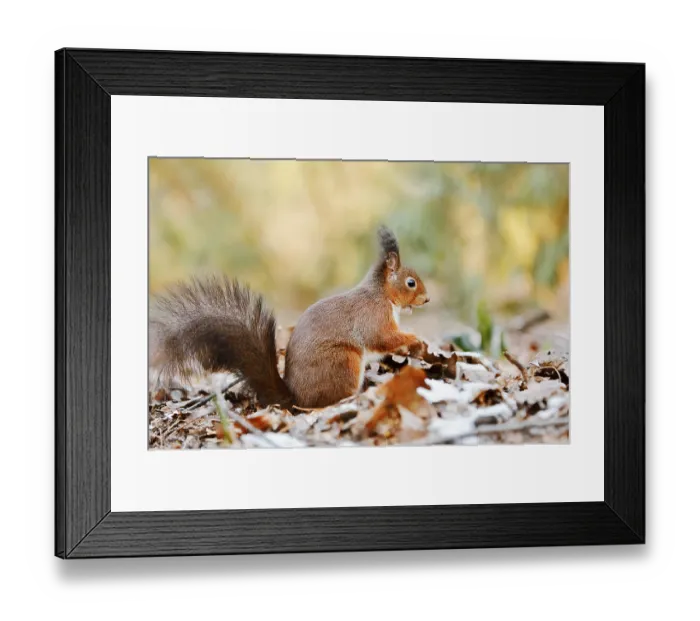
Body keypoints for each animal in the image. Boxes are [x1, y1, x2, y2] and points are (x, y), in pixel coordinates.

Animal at [149, 226, 430, 409]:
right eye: (411, 282)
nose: (427, 300)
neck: (382, 294)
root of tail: (295, 399)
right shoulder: (373, 316)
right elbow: (381, 337)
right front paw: (415, 339)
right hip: (344, 362)